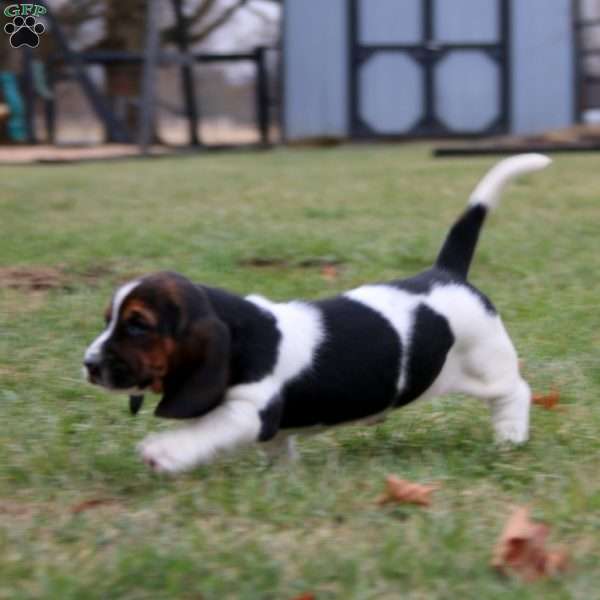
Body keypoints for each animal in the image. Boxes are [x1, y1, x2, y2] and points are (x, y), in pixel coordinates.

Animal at [83, 154, 548, 474]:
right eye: (108, 319)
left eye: (138, 325)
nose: (88, 364)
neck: (244, 333)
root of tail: (445, 273)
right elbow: (277, 450)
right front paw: (282, 477)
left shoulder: (247, 411)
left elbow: (204, 431)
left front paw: (165, 451)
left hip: (487, 363)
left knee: (515, 392)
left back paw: (510, 438)